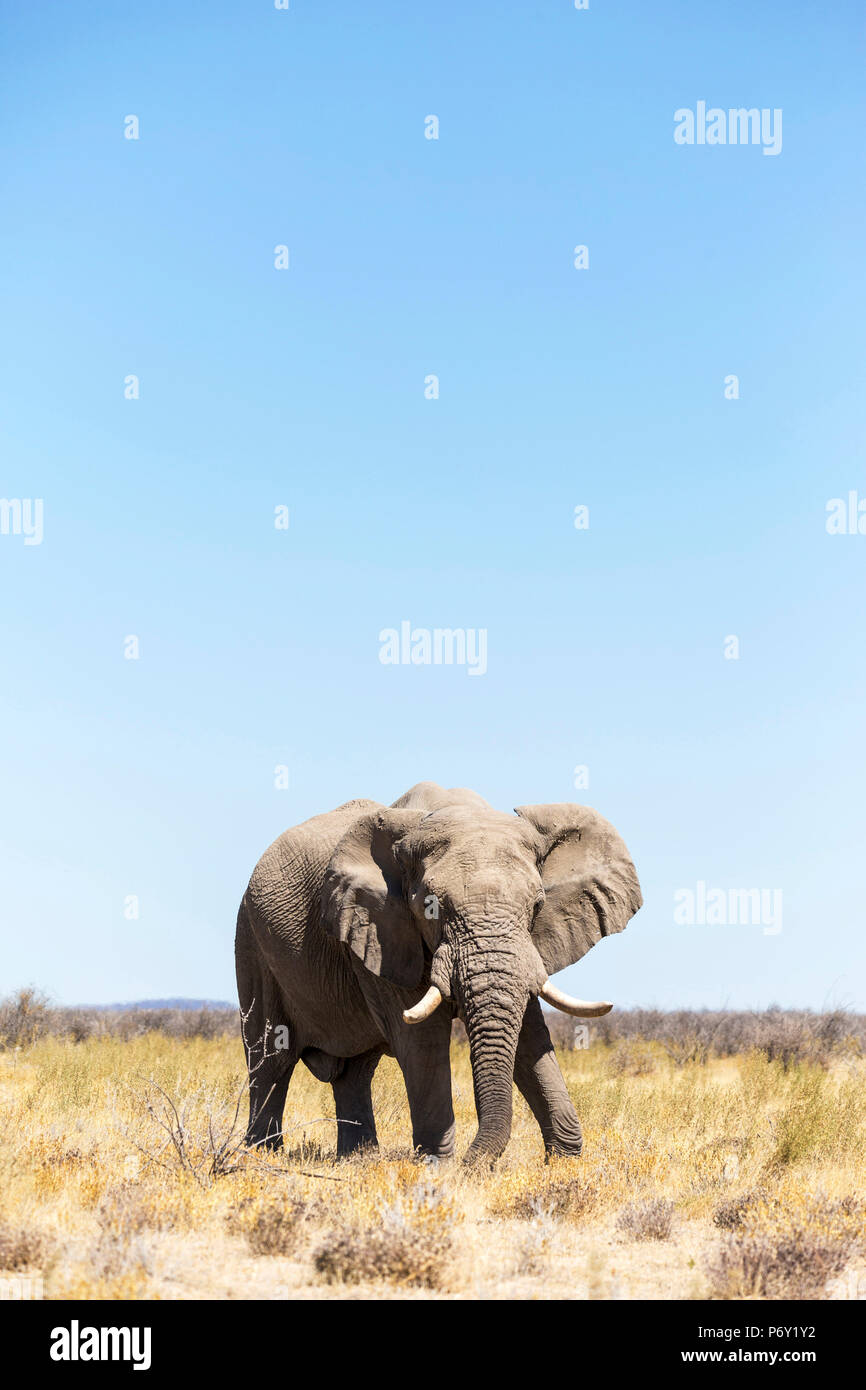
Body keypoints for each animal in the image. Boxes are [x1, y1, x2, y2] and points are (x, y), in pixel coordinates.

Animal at [233, 783, 639, 1162]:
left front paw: (564, 1162)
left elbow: (529, 1033)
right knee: (271, 1059)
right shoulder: (384, 930)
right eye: (431, 908)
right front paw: (437, 1168)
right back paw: (262, 1155)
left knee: (355, 1069)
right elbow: (421, 1039)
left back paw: (358, 1158)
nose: (473, 1164)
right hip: (252, 943)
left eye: (537, 905)